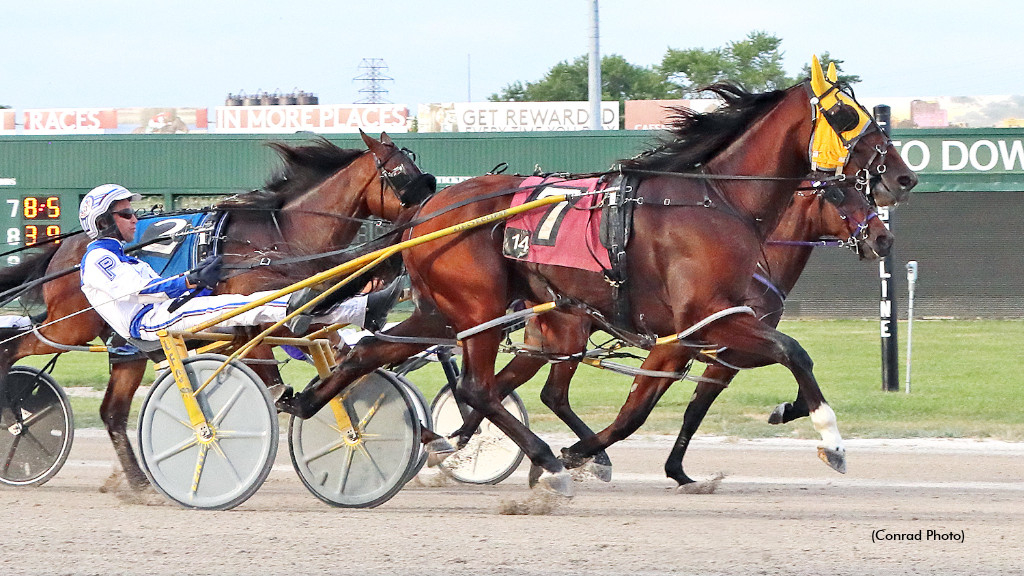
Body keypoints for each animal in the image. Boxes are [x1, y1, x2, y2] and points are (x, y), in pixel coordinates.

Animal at [0, 131, 432, 487]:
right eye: (399, 173)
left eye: (417, 167)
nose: (429, 200)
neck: (280, 236)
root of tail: (66, 246)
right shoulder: (254, 311)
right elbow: (271, 352)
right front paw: (282, 397)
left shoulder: (304, 309)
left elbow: (331, 345)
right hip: (69, 326)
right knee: (16, 345)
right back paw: (11, 412)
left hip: (126, 350)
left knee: (112, 413)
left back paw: (140, 484)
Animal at [278, 66, 921, 494]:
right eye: (846, 115)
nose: (902, 177)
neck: (718, 203)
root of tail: (424, 211)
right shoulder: (702, 326)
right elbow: (792, 352)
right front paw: (831, 440)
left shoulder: (700, 339)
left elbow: (664, 405)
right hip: (483, 310)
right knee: (480, 388)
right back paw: (540, 461)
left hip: (458, 311)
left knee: (376, 352)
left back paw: (314, 404)